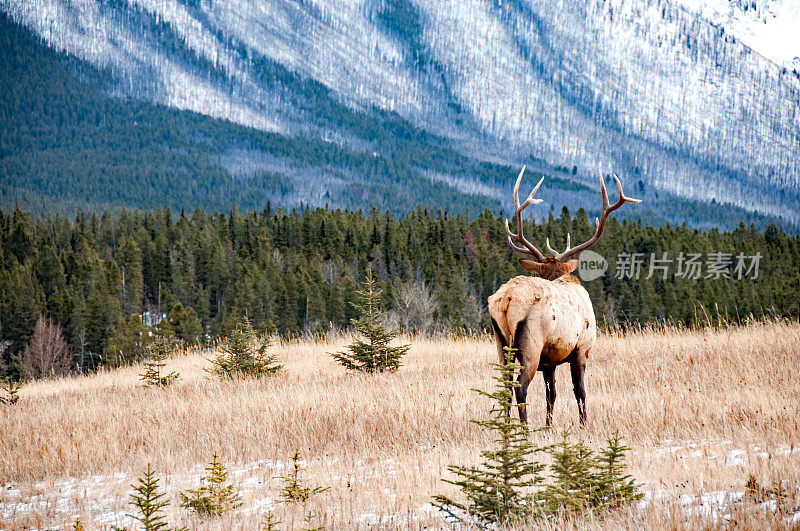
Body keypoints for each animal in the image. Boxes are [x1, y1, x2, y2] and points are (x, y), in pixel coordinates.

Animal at [484, 169, 640, 428]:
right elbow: (580, 390)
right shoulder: (582, 348)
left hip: (500, 342)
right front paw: (584, 424)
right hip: (530, 344)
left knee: (505, 385)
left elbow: (552, 394)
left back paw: (506, 428)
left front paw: (549, 425)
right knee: (520, 387)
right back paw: (524, 430)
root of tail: (506, 300)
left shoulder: (550, 360)